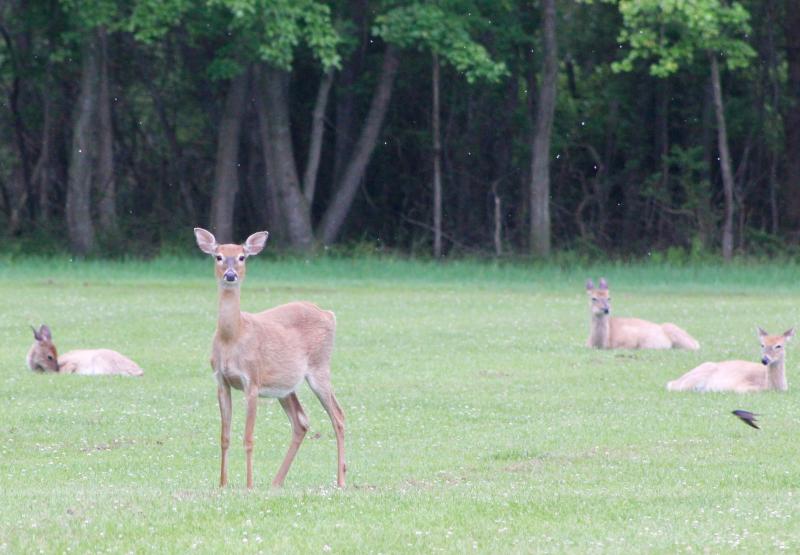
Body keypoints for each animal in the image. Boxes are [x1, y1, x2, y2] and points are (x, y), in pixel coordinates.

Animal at [193, 228, 345, 489]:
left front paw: (249, 485)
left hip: (320, 367)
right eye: (218, 256)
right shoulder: (221, 381)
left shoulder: (252, 381)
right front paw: (222, 484)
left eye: (242, 256)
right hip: (285, 386)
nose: (231, 275)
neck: (232, 337)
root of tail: (329, 314)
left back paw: (341, 480)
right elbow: (225, 436)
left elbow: (248, 437)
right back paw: (276, 482)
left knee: (338, 416)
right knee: (301, 421)